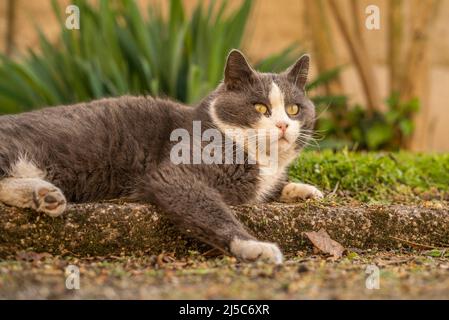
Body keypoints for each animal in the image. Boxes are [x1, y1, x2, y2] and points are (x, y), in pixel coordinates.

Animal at [0, 50, 322, 264]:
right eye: (260, 108)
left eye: (293, 109)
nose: (283, 125)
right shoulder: (175, 173)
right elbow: (211, 209)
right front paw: (254, 246)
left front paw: (303, 189)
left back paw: (44, 195)